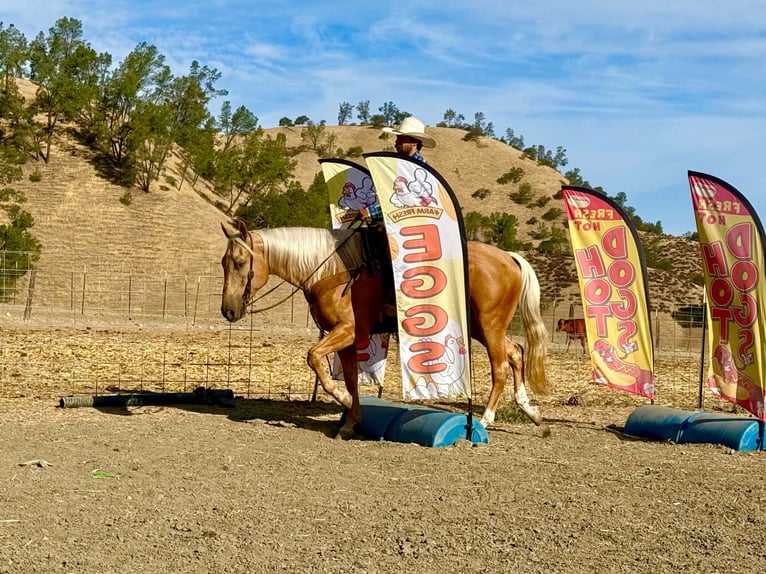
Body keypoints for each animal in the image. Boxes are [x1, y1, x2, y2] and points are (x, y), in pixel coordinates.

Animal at [220, 220, 548, 439]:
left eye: (239, 262)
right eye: (224, 262)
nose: (229, 310)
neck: (331, 269)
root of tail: (509, 257)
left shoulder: (347, 330)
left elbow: (314, 358)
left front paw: (345, 402)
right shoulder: (348, 339)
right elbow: (350, 378)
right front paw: (350, 421)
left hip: (490, 324)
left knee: (500, 367)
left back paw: (485, 421)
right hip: (482, 326)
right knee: (516, 353)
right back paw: (531, 411)